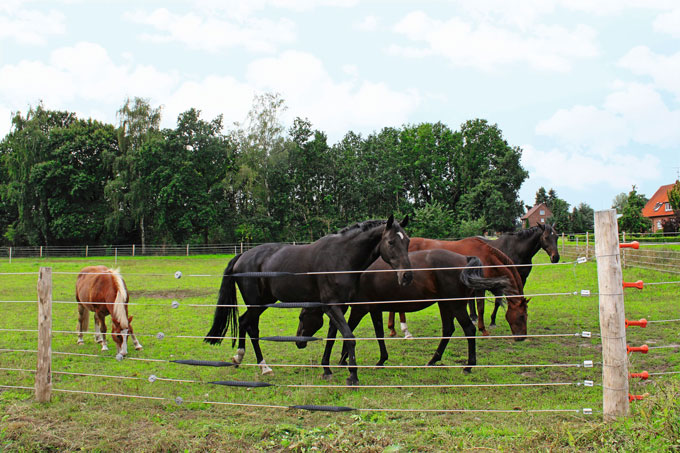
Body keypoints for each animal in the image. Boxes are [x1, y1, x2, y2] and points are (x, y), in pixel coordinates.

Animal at [204, 216, 413, 385]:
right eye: (391, 242)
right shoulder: (332, 306)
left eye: (408, 241)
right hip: (257, 303)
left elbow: (332, 337)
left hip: (262, 302)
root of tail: (242, 256)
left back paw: (240, 358)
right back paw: (263, 366)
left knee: (244, 323)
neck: (341, 257)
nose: (407, 276)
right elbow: (349, 337)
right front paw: (352, 376)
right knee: (250, 326)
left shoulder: (340, 307)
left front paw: (326, 369)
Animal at [296, 248, 528, 379]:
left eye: (301, 317)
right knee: (448, 330)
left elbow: (343, 331)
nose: (299, 342)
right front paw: (380, 360)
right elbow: (379, 333)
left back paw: (468, 366)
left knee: (469, 330)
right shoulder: (375, 309)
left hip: (455, 305)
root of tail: (464, 258)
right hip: (445, 305)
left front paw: (341, 360)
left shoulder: (360, 309)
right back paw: (432, 360)